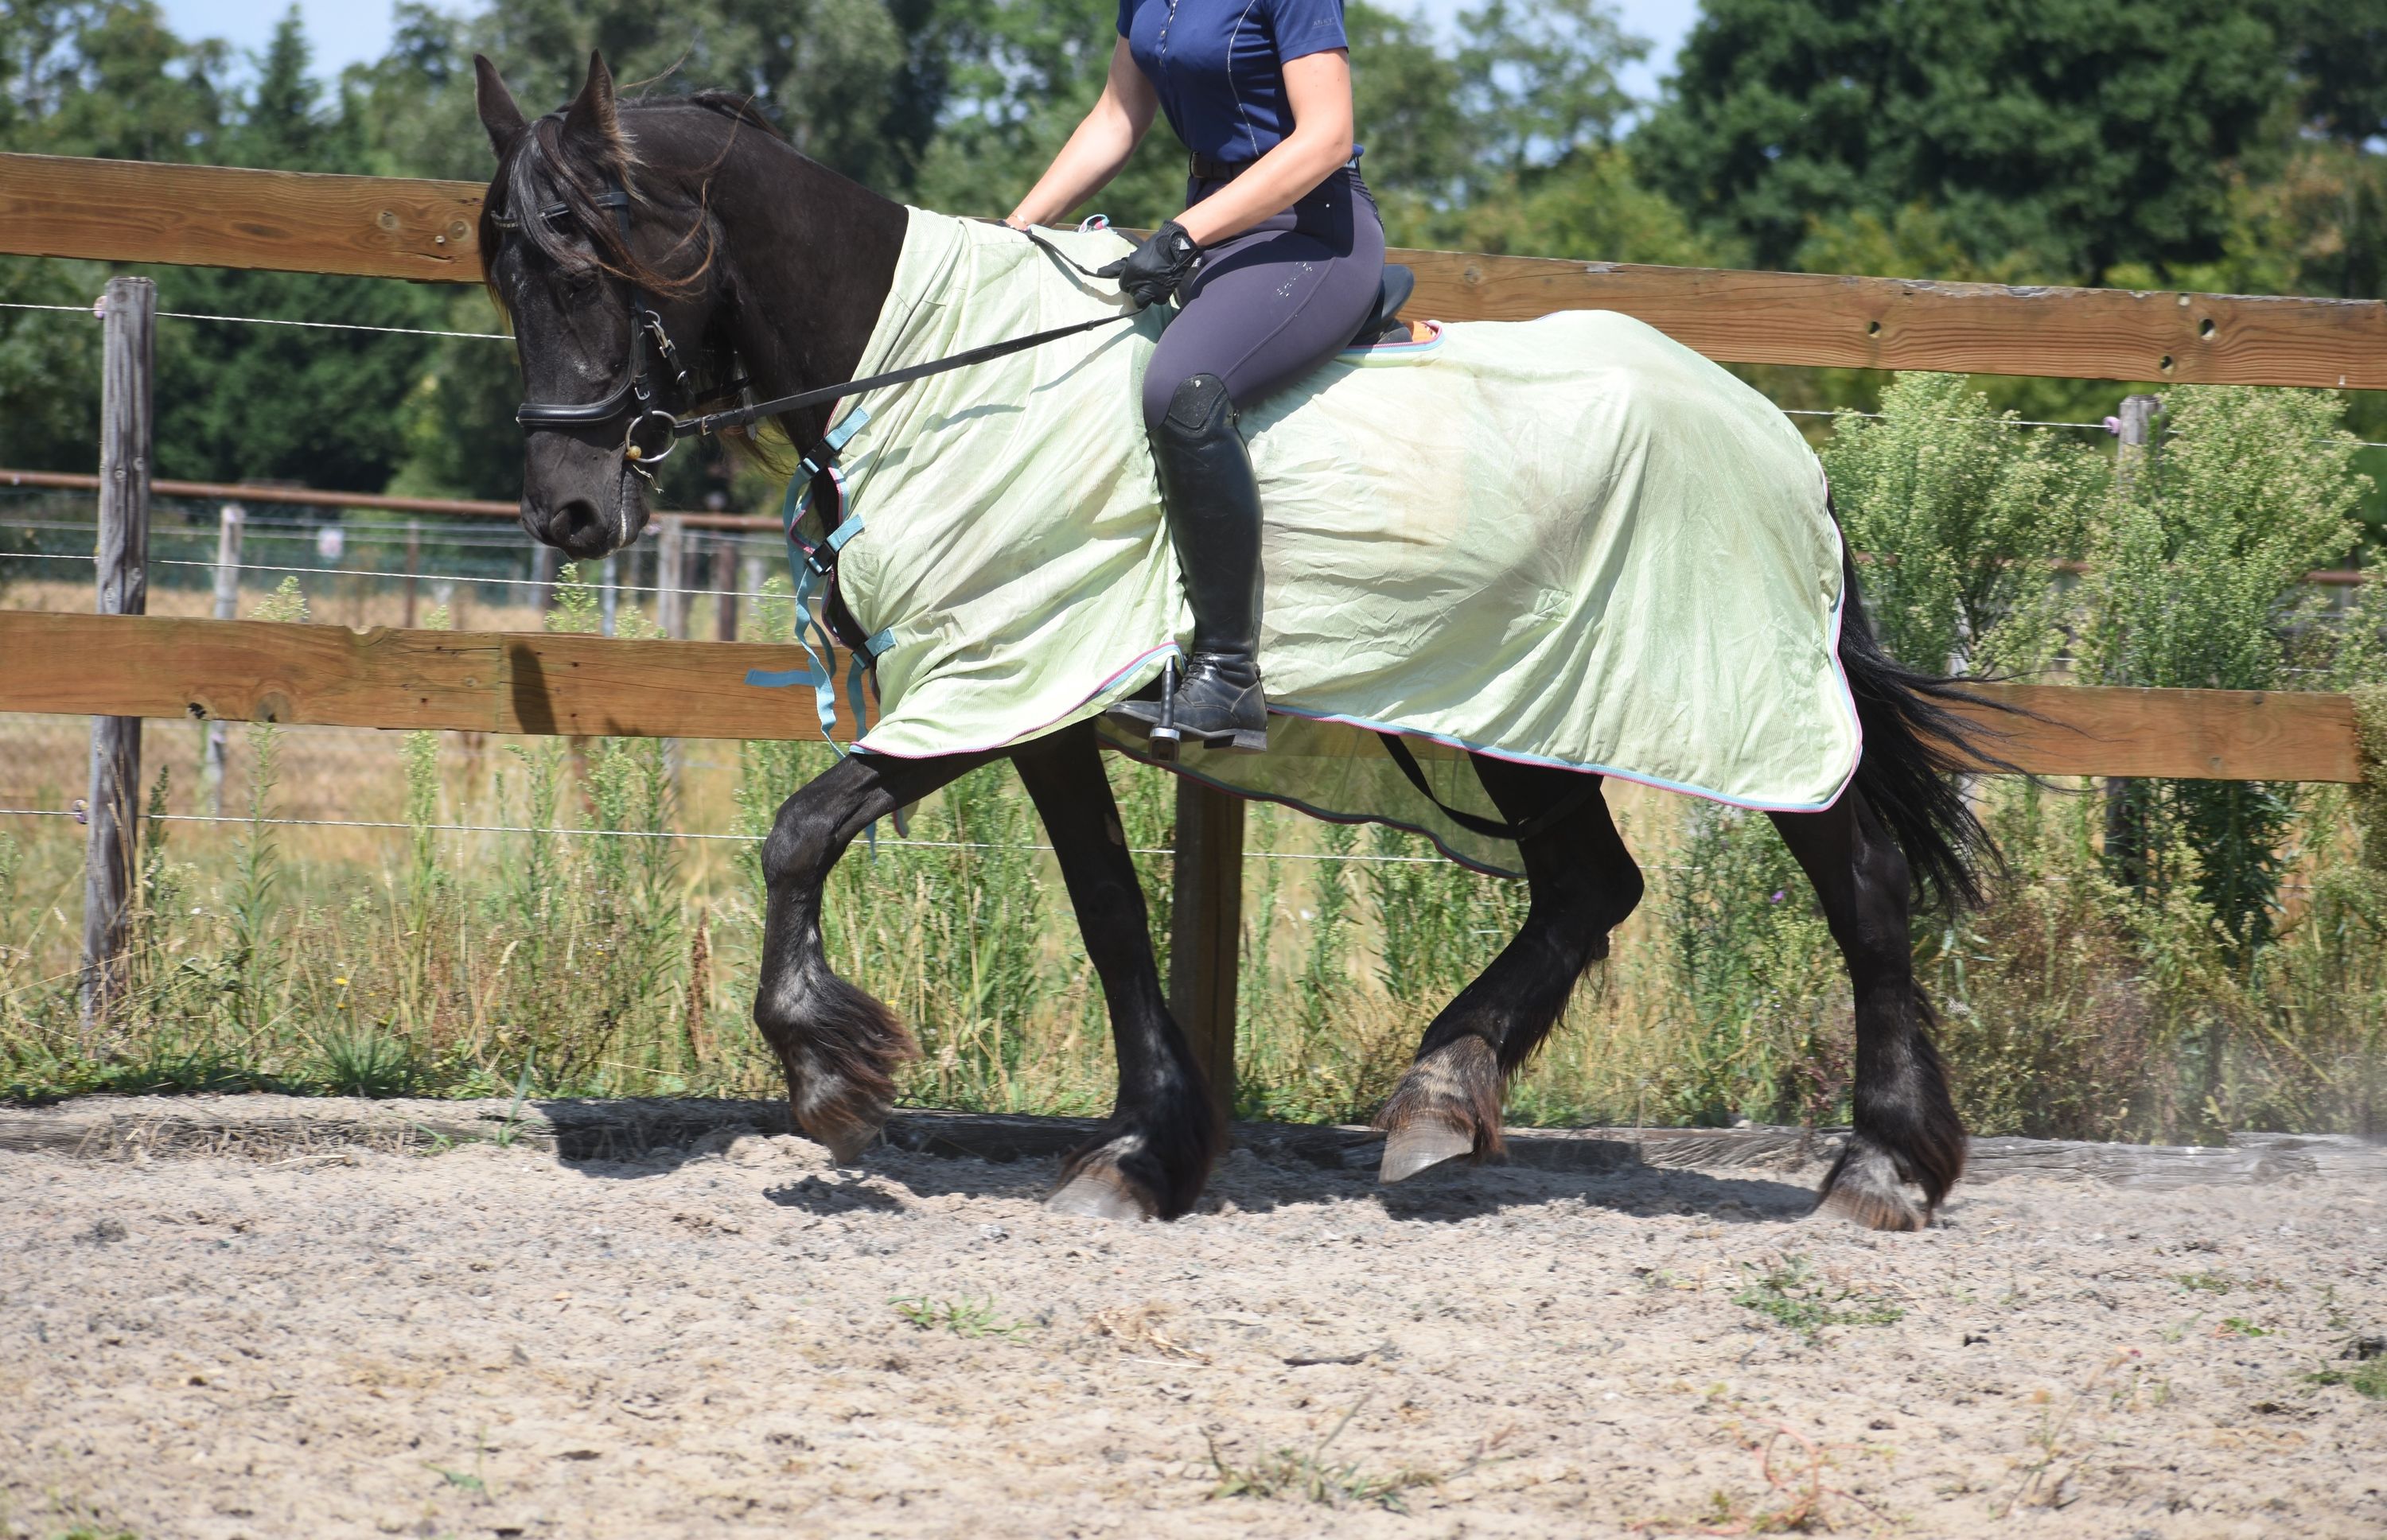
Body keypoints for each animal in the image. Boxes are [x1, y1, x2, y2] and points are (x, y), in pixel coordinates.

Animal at [470, 51, 2002, 1231]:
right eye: (506, 274)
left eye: (584, 266)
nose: (566, 512)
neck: (934, 381)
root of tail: (1777, 439)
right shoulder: (1029, 707)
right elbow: (1106, 910)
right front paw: (1143, 1153)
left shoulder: (991, 683)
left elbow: (798, 833)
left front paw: (828, 1075)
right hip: (1522, 711)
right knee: (1590, 885)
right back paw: (1442, 1096)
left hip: (1734, 712)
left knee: (1858, 881)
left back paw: (1879, 1169)